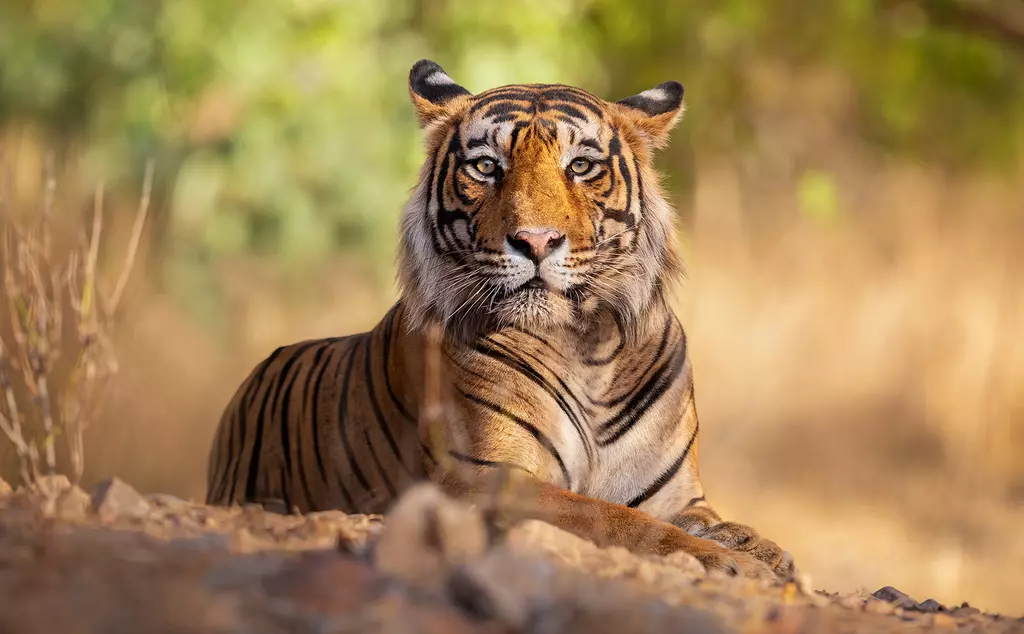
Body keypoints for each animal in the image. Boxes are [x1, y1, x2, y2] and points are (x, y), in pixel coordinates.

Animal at [207, 59, 794, 581]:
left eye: (581, 166)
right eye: (486, 166)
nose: (535, 241)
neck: (588, 348)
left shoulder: (674, 493)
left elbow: (708, 521)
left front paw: (760, 549)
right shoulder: (488, 480)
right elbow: (614, 518)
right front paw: (727, 562)